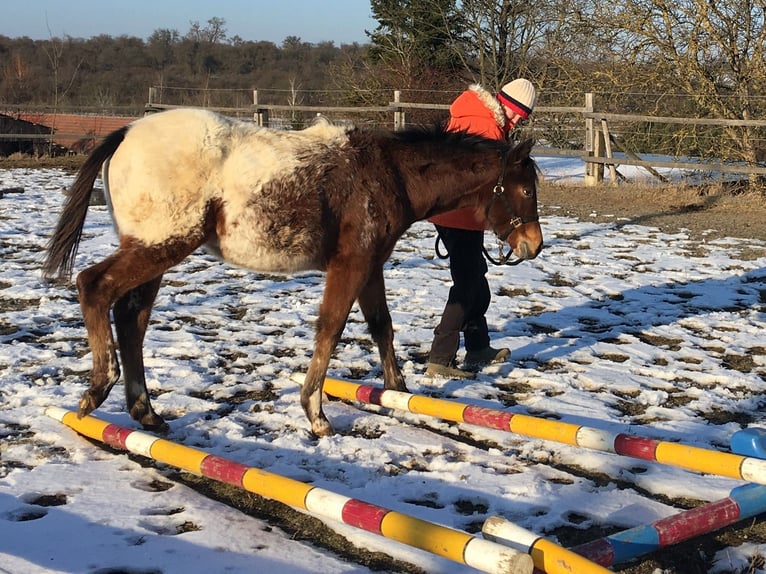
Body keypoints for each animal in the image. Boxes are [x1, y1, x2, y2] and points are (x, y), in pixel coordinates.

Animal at [43, 108, 544, 438]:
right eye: (523, 189)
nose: (533, 245)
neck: (388, 174)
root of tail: (126, 133)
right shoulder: (350, 265)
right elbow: (331, 328)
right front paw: (316, 414)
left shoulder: (371, 266)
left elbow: (382, 327)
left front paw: (397, 391)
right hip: (160, 247)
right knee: (94, 287)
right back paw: (98, 388)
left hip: (156, 255)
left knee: (131, 318)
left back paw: (146, 412)